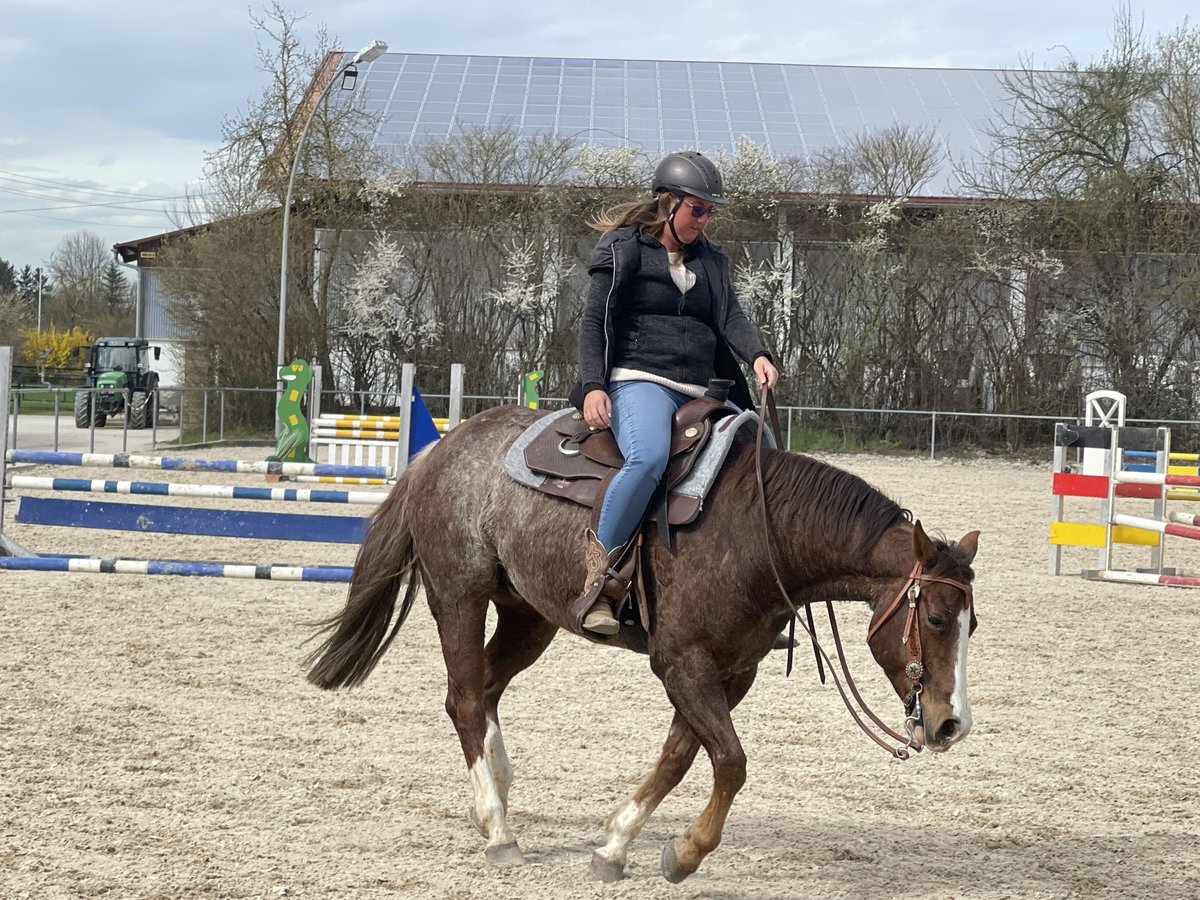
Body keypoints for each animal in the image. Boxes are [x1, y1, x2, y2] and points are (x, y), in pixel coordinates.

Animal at [304, 408, 979, 888]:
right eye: (936, 618)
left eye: (971, 624)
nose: (951, 725)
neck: (759, 534)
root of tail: (438, 451)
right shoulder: (681, 663)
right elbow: (730, 760)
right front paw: (685, 853)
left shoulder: (731, 671)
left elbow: (681, 756)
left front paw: (614, 844)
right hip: (459, 597)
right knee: (465, 698)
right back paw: (498, 830)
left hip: (529, 615)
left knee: (488, 687)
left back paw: (495, 793)